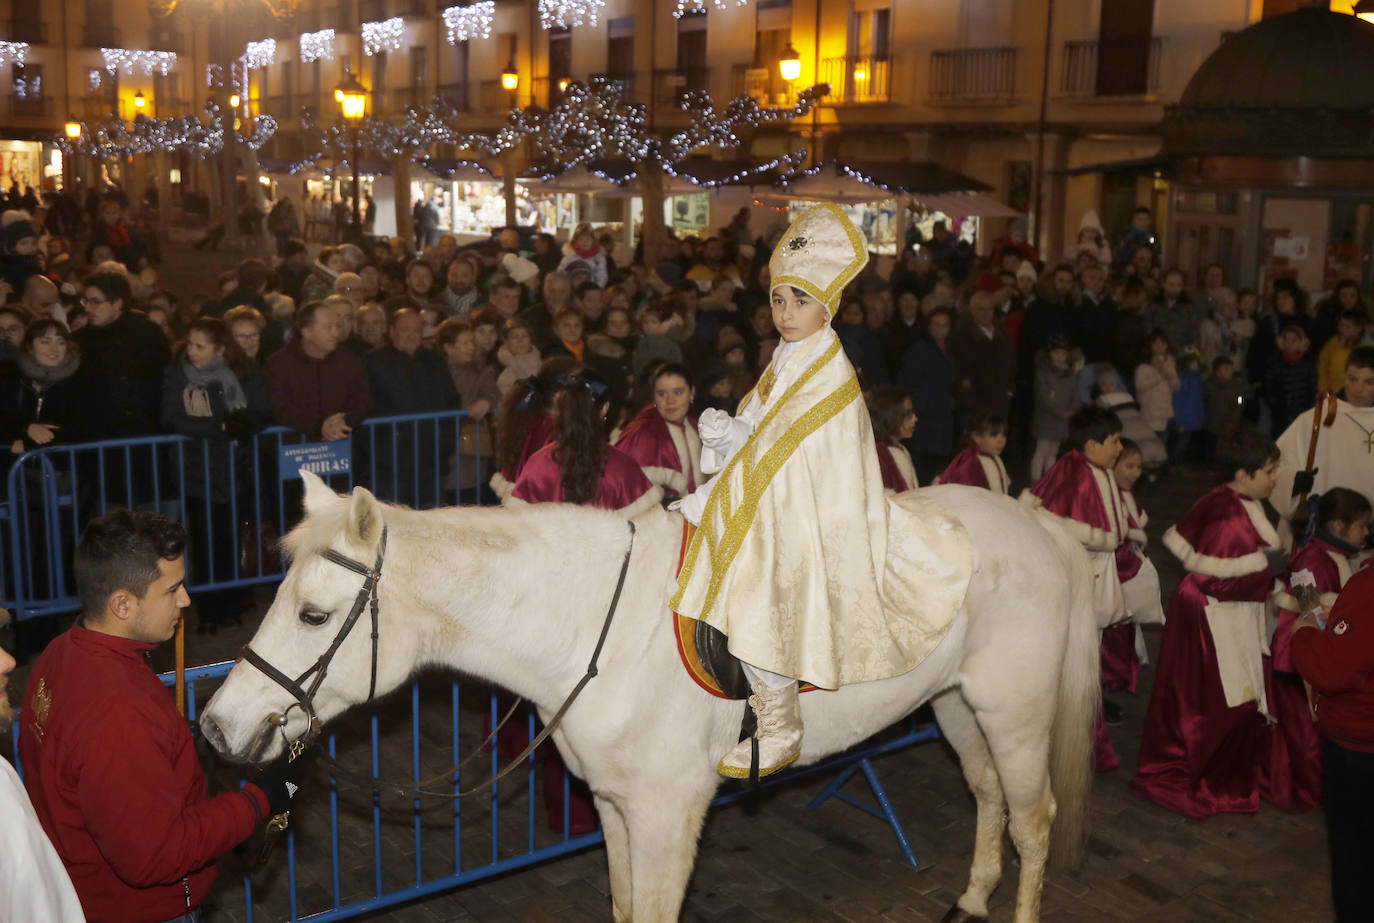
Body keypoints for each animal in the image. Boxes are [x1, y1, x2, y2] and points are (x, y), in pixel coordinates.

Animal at [200, 475, 1093, 923]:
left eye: (314, 615)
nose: (216, 724)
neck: (595, 630)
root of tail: (1039, 525)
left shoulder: (669, 815)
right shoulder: (615, 805)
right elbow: (626, 904)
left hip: (1015, 711)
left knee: (1035, 818)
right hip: (959, 705)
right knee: (988, 795)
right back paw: (972, 895)